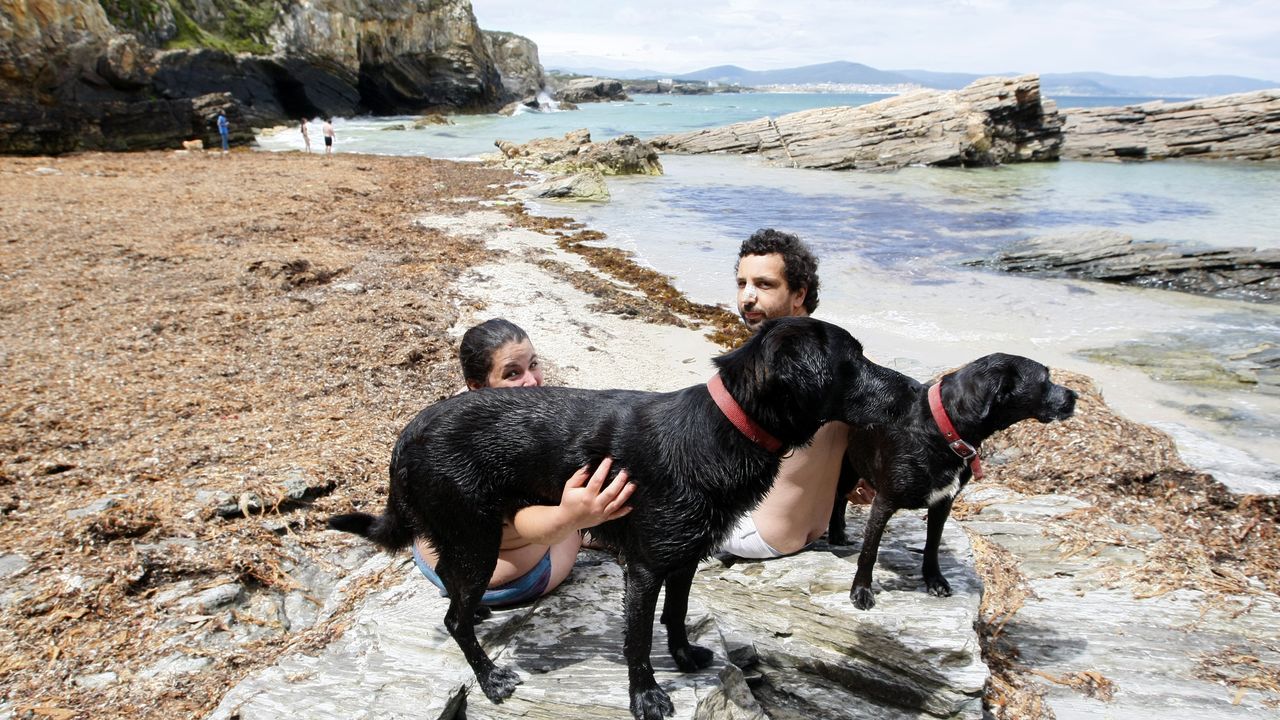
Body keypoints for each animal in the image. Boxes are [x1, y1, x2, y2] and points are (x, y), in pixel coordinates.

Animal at [330, 317, 911, 717]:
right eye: (855, 359)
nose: (910, 390)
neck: (725, 427)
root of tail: (407, 433)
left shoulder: (686, 556)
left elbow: (675, 614)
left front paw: (685, 657)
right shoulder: (646, 566)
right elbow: (637, 640)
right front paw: (647, 695)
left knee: (455, 594)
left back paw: (479, 618)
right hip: (477, 537)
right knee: (453, 613)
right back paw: (490, 678)